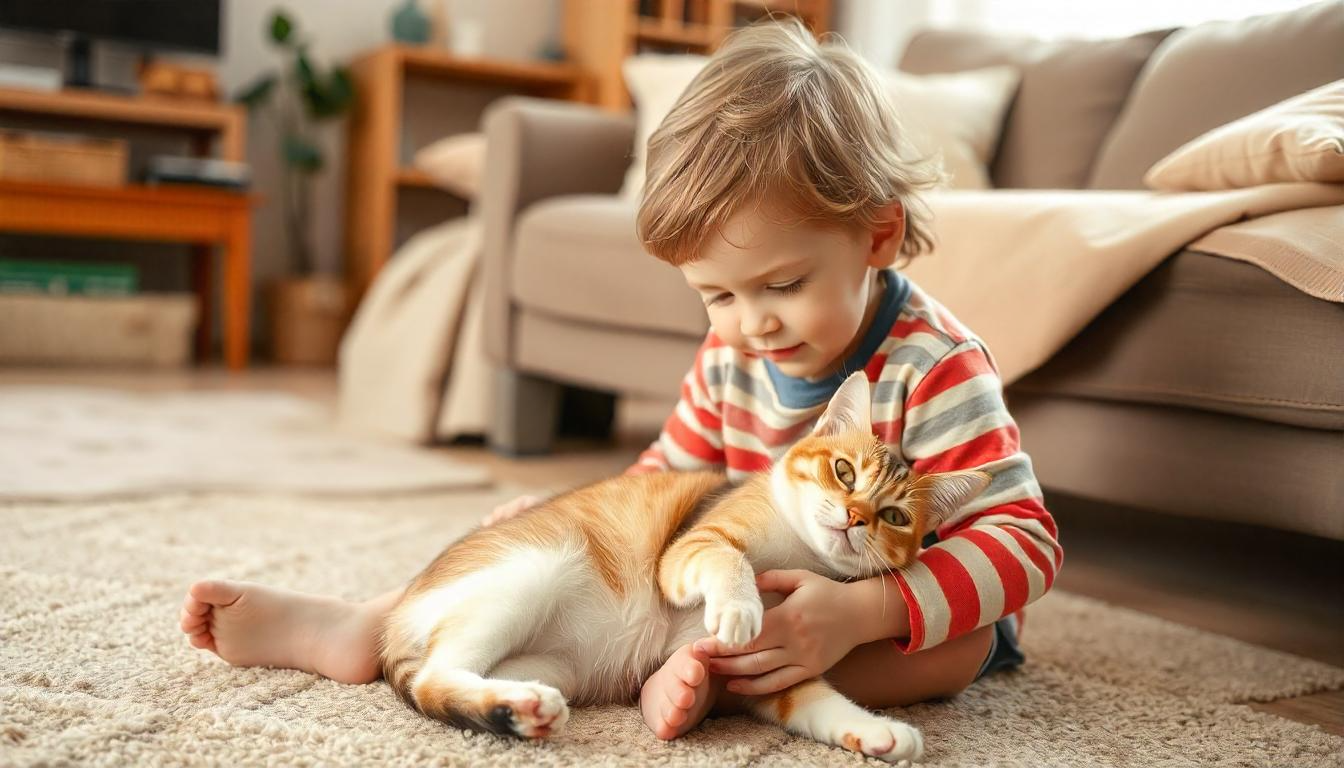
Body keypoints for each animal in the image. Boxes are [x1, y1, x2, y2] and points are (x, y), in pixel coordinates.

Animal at [379, 373, 989, 763]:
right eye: (844, 471)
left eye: (894, 515)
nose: (856, 517)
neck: (802, 551)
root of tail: (393, 629)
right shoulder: (688, 549)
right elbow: (726, 556)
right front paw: (741, 608)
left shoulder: (767, 673)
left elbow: (819, 702)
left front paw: (879, 733)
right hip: (535, 569)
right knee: (436, 674)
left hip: (553, 666)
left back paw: (520, 708)